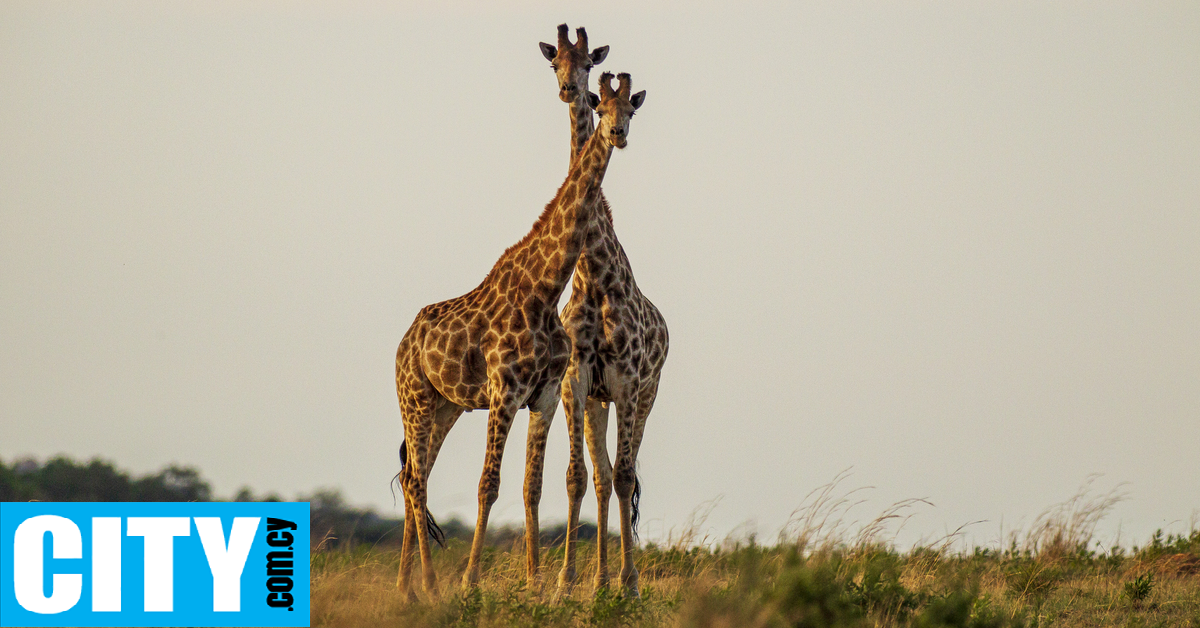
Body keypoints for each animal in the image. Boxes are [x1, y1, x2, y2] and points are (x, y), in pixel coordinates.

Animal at [393, 68, 648, 600]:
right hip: (415, 398)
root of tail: (403, 344)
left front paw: (535, 584)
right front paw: (470, 582)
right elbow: (488, 482)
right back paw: (429, 585)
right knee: (417, 482)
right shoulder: (504, 390)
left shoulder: (545, 395)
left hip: (445, 406)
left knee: (413, 477)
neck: (544, 289)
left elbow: (533, 483)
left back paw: (407, 588)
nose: (616, 134)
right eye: (603, 108)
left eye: (631, 110)